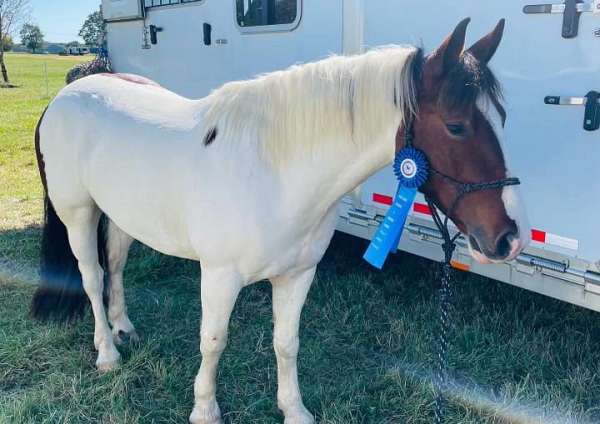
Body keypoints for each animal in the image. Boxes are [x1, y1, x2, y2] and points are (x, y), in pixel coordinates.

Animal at [32, 19, 528, 424]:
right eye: (456, 126)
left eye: (501, 120)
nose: (509, 239)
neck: (275, 172)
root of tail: (66, 95)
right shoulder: (219, 276)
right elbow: (214, 339)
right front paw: (205, 410)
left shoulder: (297, 274)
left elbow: (286, 343)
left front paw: (294, 410)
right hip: (78, 214)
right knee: (92, 277)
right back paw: (107, 352)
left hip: (121, 215)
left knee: (115, 265)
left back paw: (124, 327)